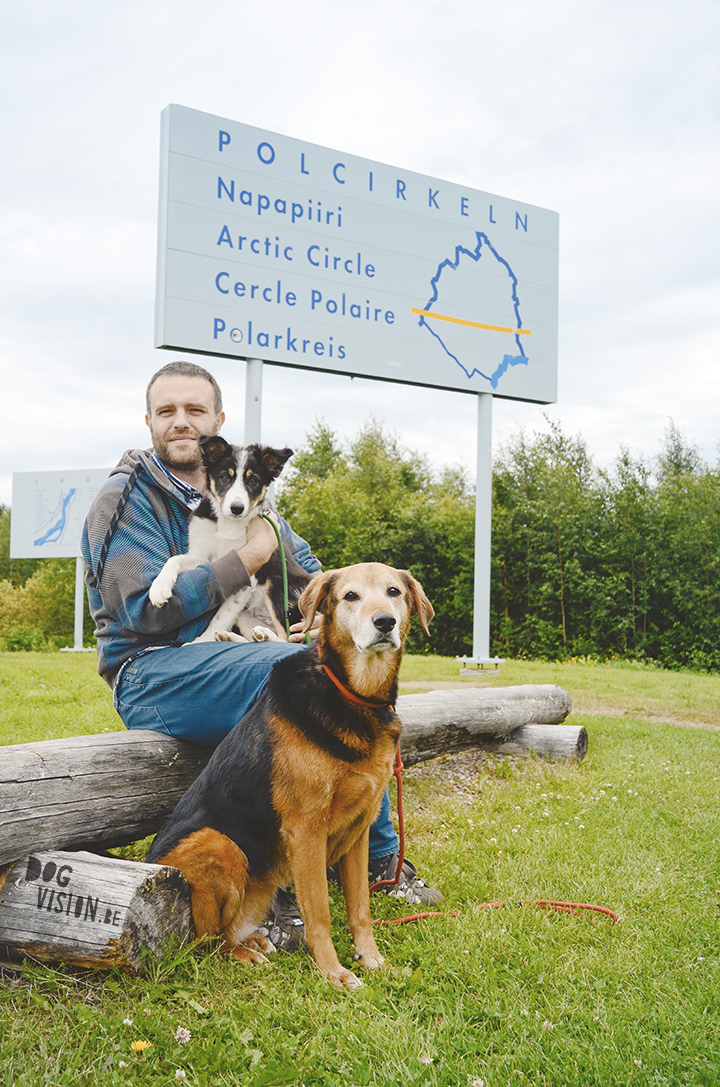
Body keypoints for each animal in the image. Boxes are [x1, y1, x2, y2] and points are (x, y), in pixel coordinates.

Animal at [143, 565, 430, 991]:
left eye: (393, 592)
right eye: (350, 597)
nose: (385, 623)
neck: (353, 696)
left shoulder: (359, 832)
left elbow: (360, 907)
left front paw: (372, 959)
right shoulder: (307, 831)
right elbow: (320, 913)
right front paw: (334, 972)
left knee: (224, 931)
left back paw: (255, 940)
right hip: (220, 843)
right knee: (203, 941)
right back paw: (243, 953)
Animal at [149, 434, 313, 639]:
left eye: (253, 481)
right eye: (225, 477)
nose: (237, 508)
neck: (228, 525)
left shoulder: (248, 573)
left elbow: (222, 616)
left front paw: (201, 641)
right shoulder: (202, 556)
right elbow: (175, 559)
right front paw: (159, 587)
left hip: (278, 584)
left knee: (288, 639)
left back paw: (263, 634)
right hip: (246, 615)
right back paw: (233, 636)